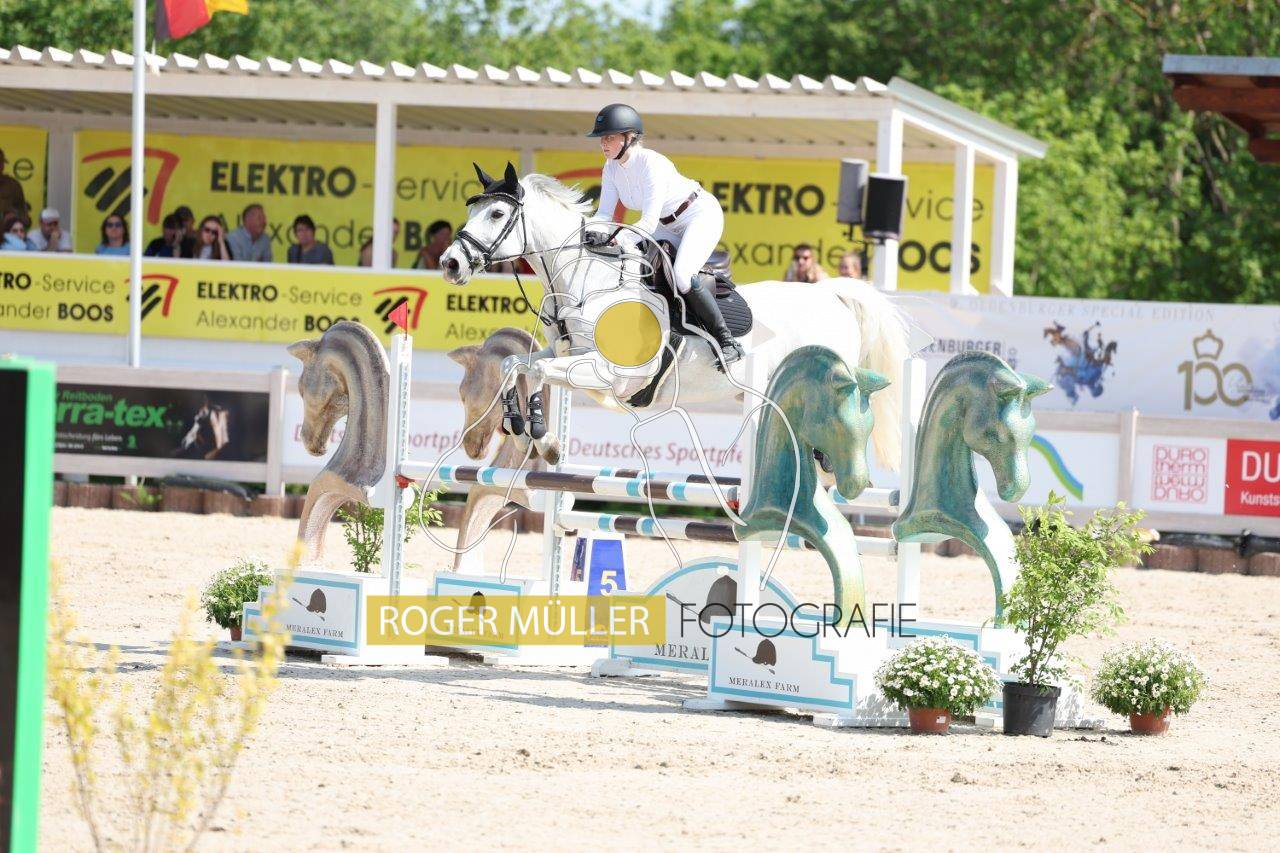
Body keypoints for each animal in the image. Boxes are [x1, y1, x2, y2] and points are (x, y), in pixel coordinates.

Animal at [438, 163, 910, 472]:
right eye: (472, 211)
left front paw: (538, 434)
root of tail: (832, 296)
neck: (588, 278)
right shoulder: (564, 354)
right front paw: (531, 431)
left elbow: (535, 370)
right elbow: (515, 365)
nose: (450, 263)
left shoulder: (608, 373)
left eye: (497, 213)